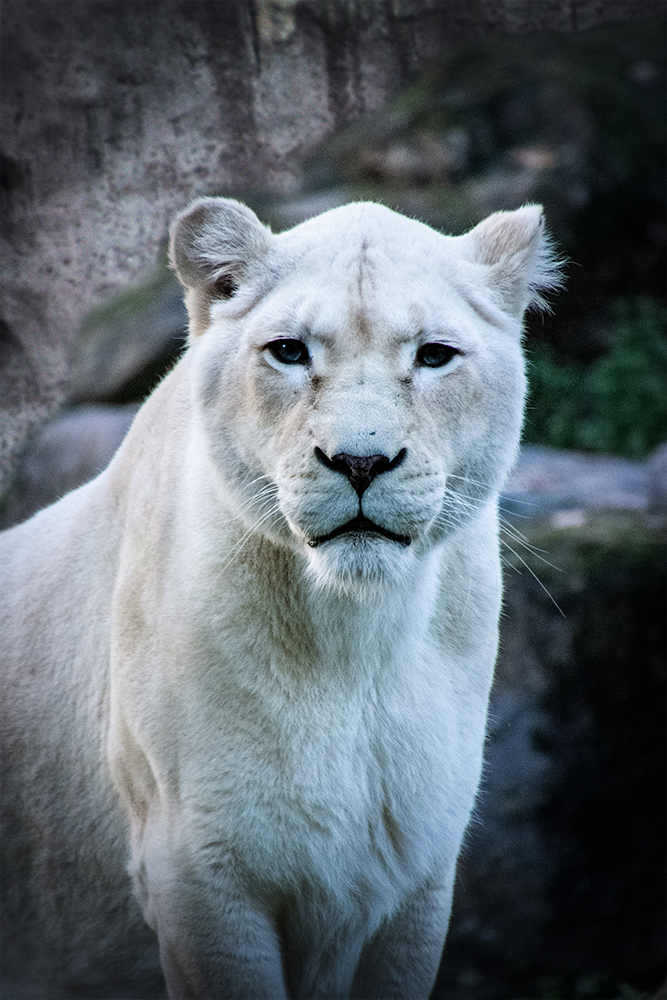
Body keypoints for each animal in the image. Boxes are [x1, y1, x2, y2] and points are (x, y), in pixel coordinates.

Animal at [0, 199, 560, 996]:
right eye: (289, 351)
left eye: (433, 355)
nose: (360, 460)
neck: (355, 645)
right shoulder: (199, 875)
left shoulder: (417, 880)